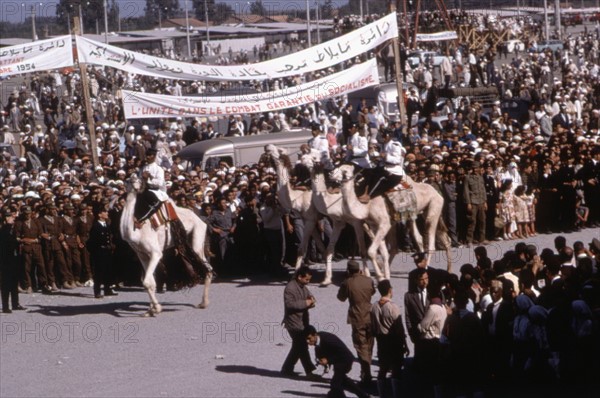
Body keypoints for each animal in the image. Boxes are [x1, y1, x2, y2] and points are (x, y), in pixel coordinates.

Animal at [120, 175, 213, 318]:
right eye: (128, 180)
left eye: (136, 180)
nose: (133, 178)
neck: (136, 232)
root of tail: (201, 220)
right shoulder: (142, 255)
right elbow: (149, 282)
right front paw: (150, 310)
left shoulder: (155, 253)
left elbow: (147, 281)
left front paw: (157, 309)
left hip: (197, 239)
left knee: (207, 268)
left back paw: (203, 303)